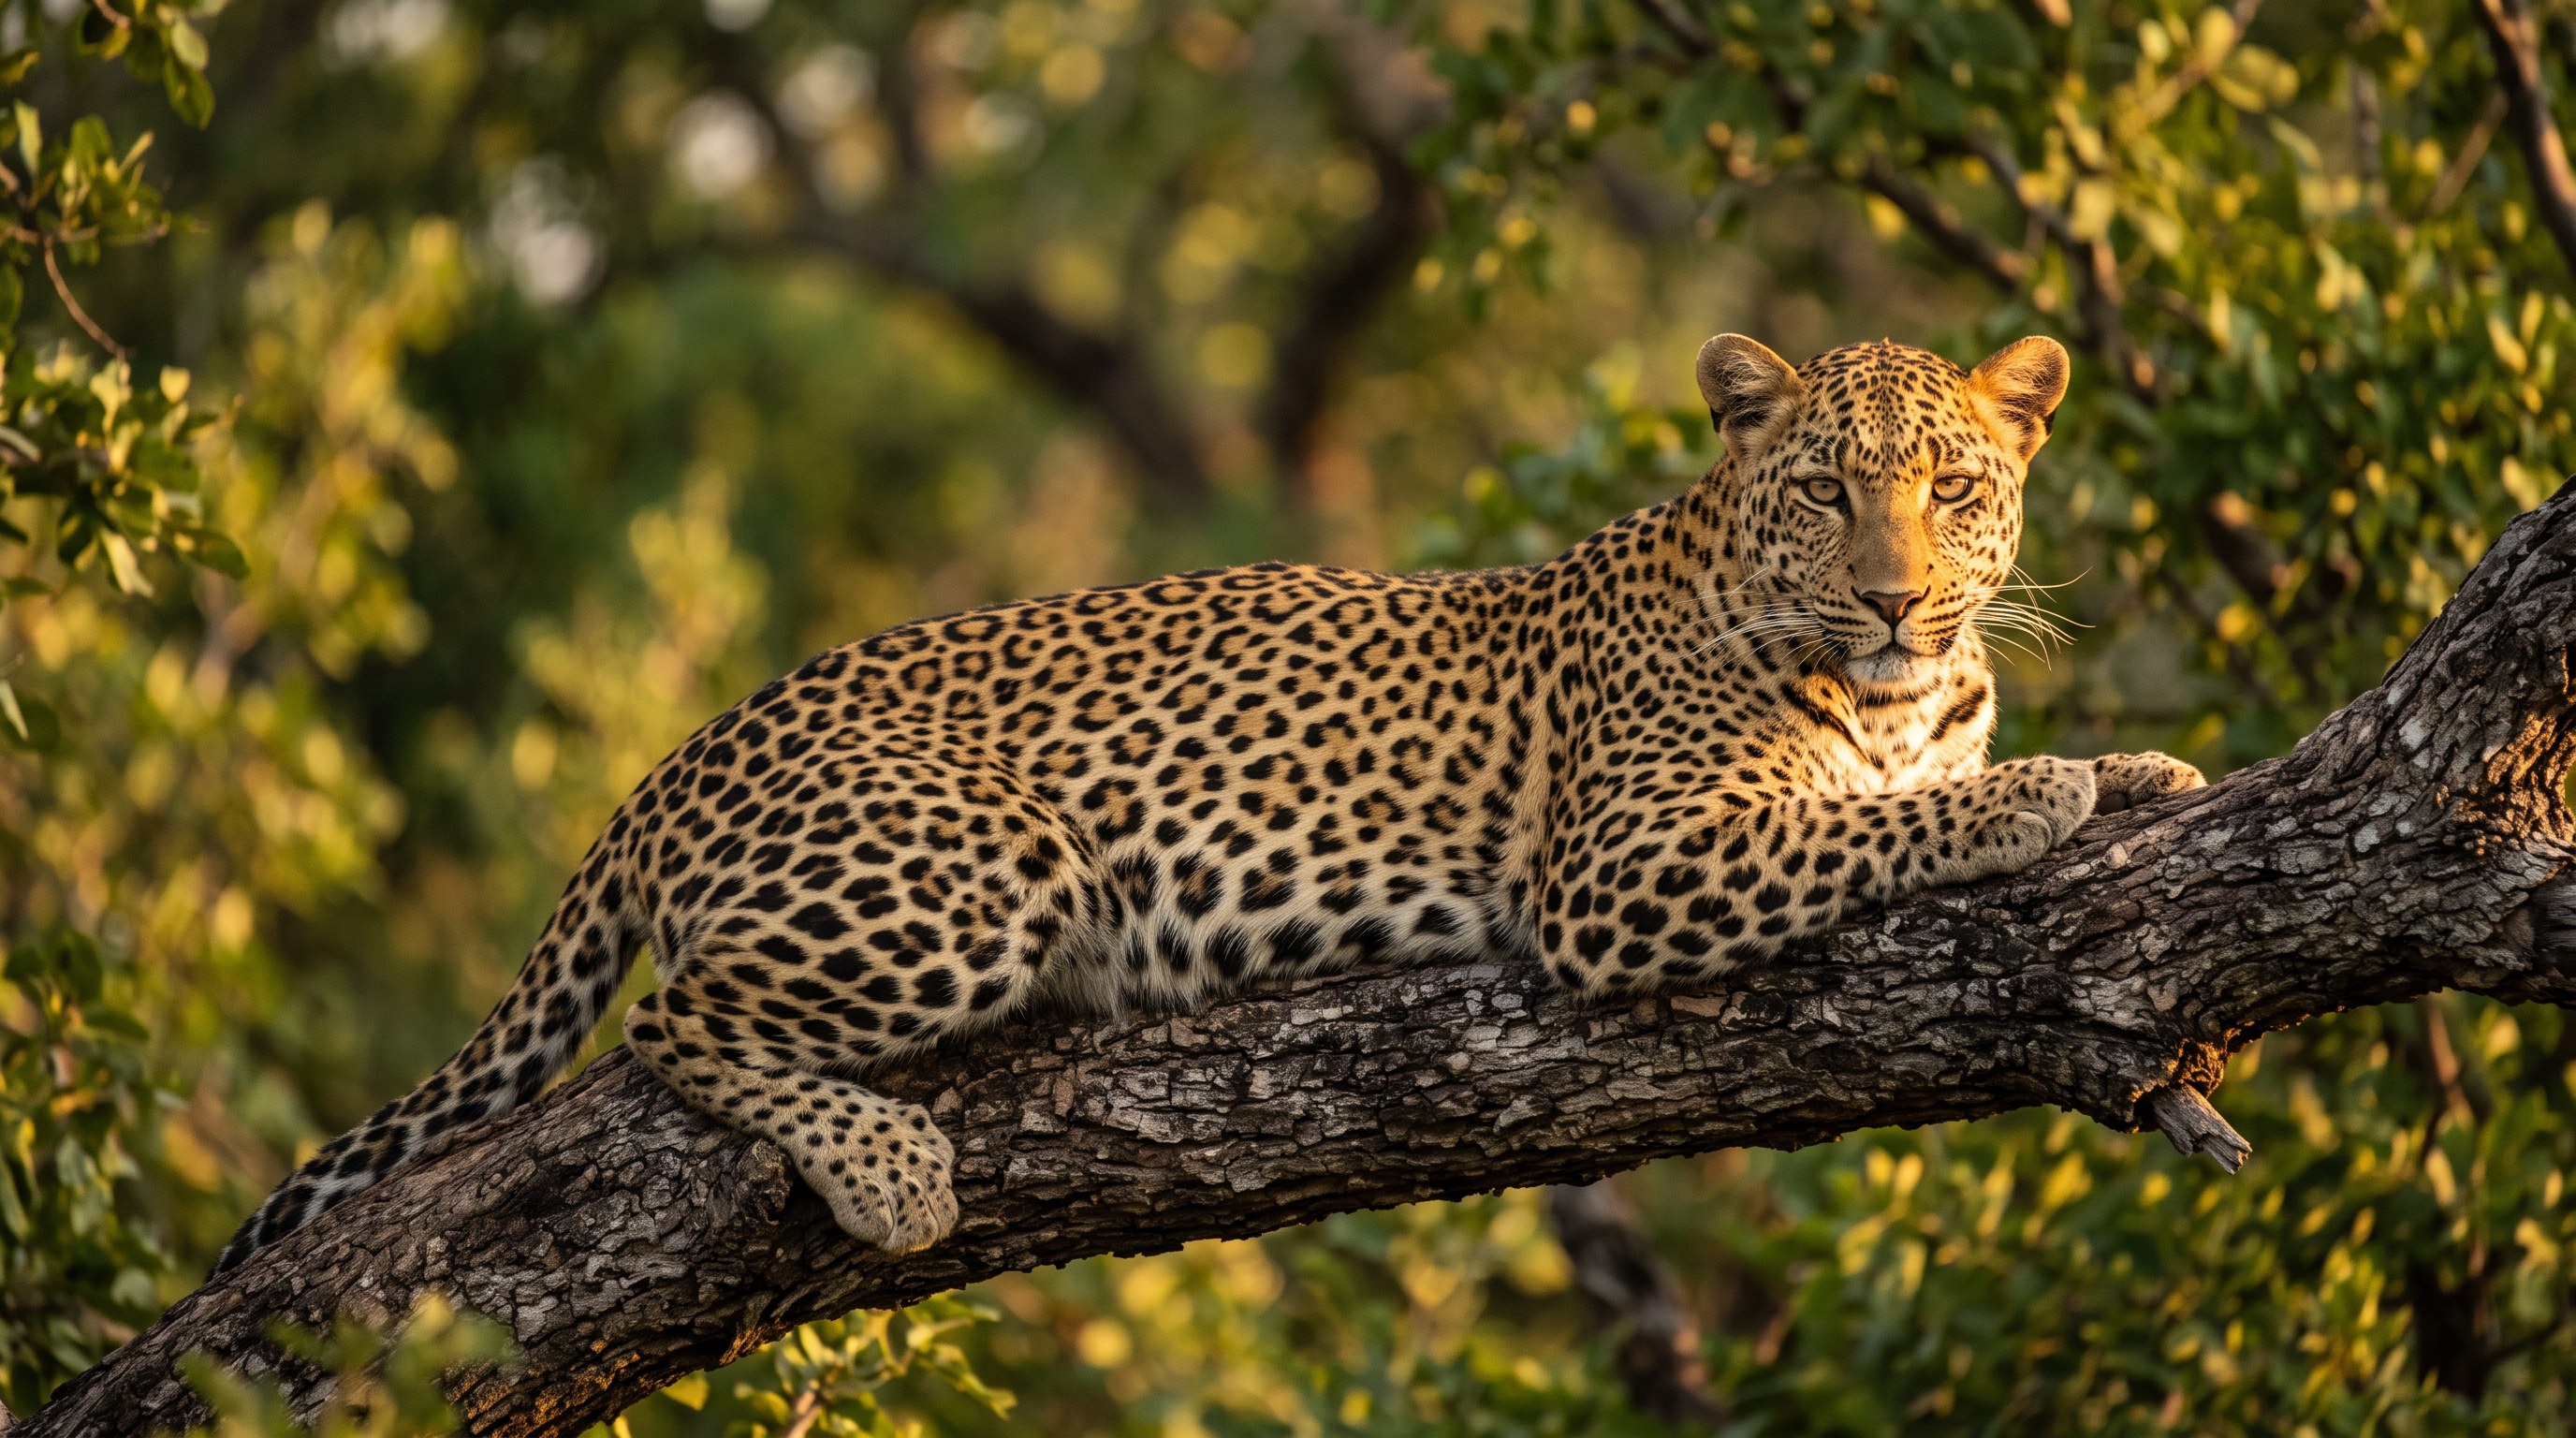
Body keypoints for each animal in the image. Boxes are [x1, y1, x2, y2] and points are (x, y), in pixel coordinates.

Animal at [214, 332, 2204, 1272]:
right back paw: (887, 1170)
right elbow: (1866, 826)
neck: (1892, 689)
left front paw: (2139, 763)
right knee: (669, 1024)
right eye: (1827, 494)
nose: (1897, 597)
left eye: (1954, 489)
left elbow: (1935, 782)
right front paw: (2034, 795)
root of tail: (692, 744)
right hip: (972, 864)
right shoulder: (1623, 869)